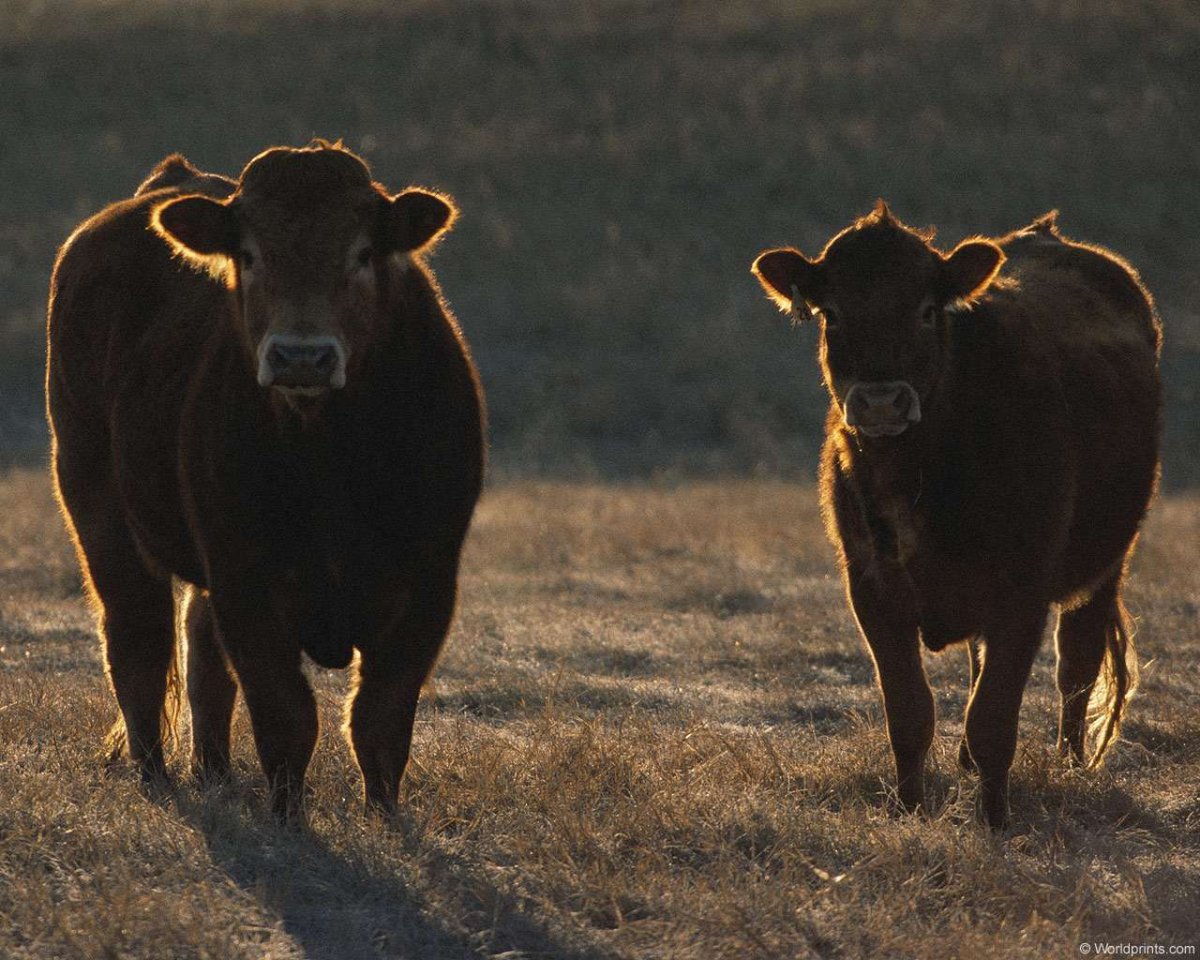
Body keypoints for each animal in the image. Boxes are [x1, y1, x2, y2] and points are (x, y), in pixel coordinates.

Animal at [46, 143, 485, 821]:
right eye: (249, 255)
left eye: (363, 252)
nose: (301, 357)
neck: (331, 465)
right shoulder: (245, 580)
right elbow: (287, 716)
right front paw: (287, 819)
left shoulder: (429, 583)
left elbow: (380, 719)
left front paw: (384, 816)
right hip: (95, 500)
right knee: (137, 639)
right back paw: (157, 778)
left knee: (200, 650)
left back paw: (214, 771)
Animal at [752, 203, 1161, 828]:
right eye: (832, 312)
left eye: (926, 310)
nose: (880, 401)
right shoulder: (871, 587)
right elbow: (909, 712)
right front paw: (909, 810)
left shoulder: (1023, 592)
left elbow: (994, 716)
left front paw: (994, 821)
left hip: (1109, 559)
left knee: (1077, 664)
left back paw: (1069, 766)